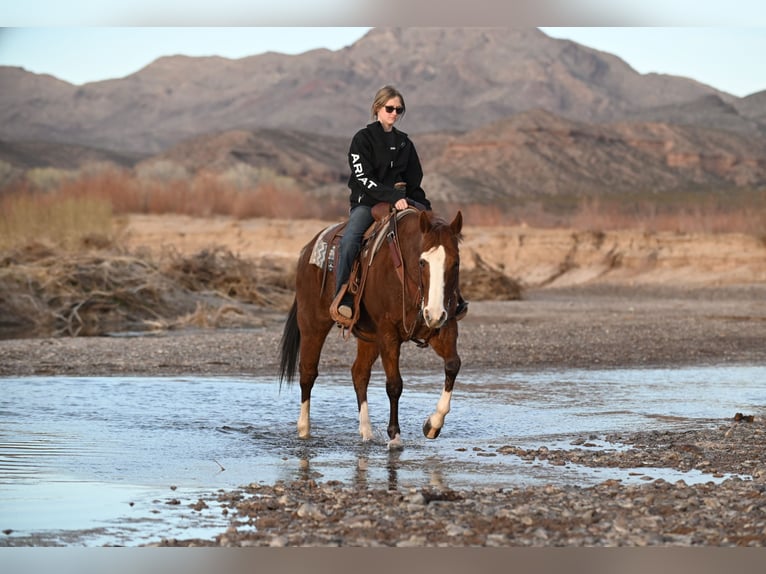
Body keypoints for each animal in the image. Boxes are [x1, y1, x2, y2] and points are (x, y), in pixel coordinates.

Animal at [280, 207, 464, 450]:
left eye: (456, 263)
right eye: (422, 262)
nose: (433, 314)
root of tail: (307, 250)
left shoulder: (444, 327)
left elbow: (453, 365)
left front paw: (433, 425)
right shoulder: (388, 334)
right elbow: (394, 384)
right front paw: (394, 436)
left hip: (369, 338)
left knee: (359, 373)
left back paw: (366, 431)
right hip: (312, 324)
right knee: (308, 373)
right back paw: (304, 430)